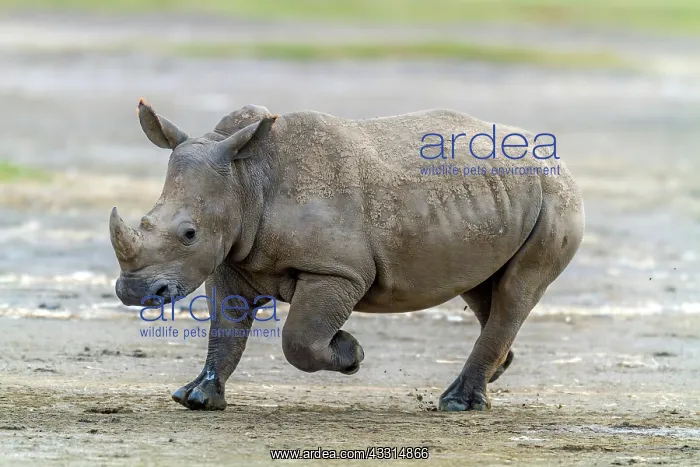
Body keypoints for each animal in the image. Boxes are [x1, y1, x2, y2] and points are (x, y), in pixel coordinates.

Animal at [110, 98, 584, 411]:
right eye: (146, 220)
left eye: (189, 233)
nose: (133, 292)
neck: (246, 179)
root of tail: (557, 159)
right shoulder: (228, 260)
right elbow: (225, 330)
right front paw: (196, 398)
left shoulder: (339, 271)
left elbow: (299, 340)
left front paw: (350, 351)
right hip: (495, 199)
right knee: (485, 289)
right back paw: (498, 369)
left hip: (556, 196)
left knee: (517, 291)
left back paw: (457, 403)